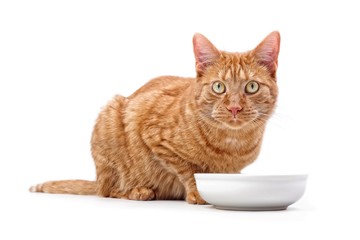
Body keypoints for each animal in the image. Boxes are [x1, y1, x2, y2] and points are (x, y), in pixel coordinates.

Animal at [29, 31, 280, 204]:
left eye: (252, 87)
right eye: (219, 87)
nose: (234, 108)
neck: (231, 143)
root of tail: (97, 179)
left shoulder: (234, 171)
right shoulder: (153, 136)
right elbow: (188, 170)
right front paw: (197, 192)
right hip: (110, 116)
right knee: (108, 191)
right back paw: (137, 191)